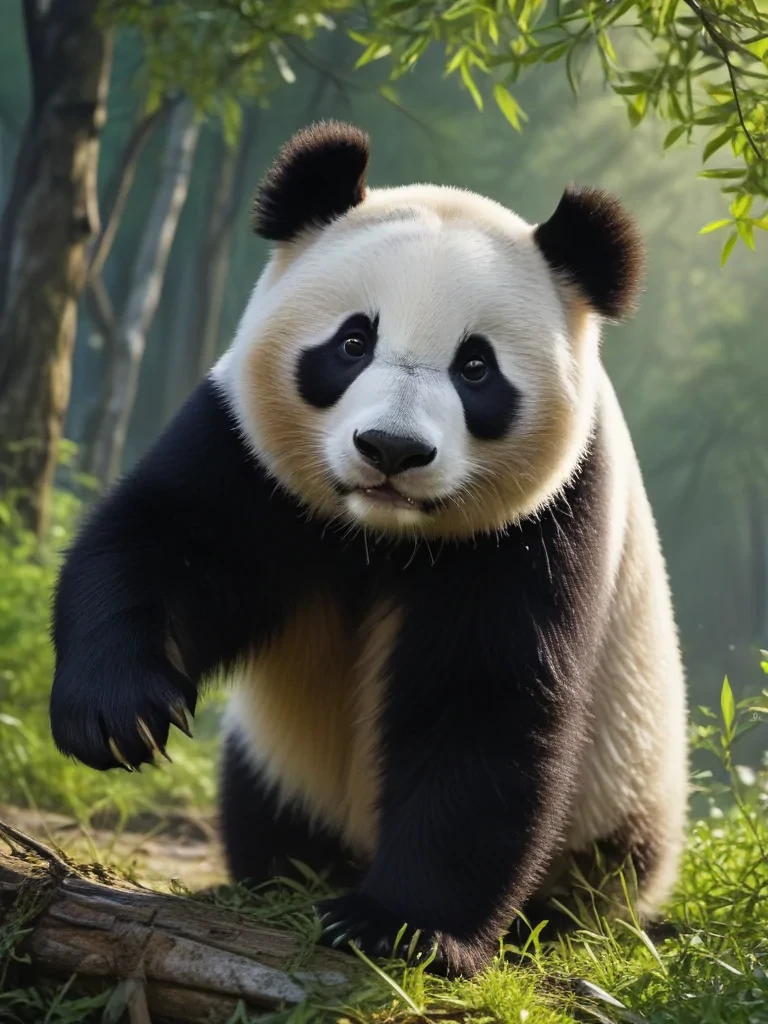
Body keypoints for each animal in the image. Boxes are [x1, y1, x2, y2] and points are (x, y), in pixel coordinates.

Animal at [50, 120, 688, 978]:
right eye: (353, 341)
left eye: (476, 366)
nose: (391, 448)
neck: (381, 534)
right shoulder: (248, 451)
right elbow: (161, 540)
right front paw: (119, 715)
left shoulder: (544, 519)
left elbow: (483, 703)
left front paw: (398, 927)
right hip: (282, 763)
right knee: (264, 803)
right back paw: (273, 876)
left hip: (620, 806)